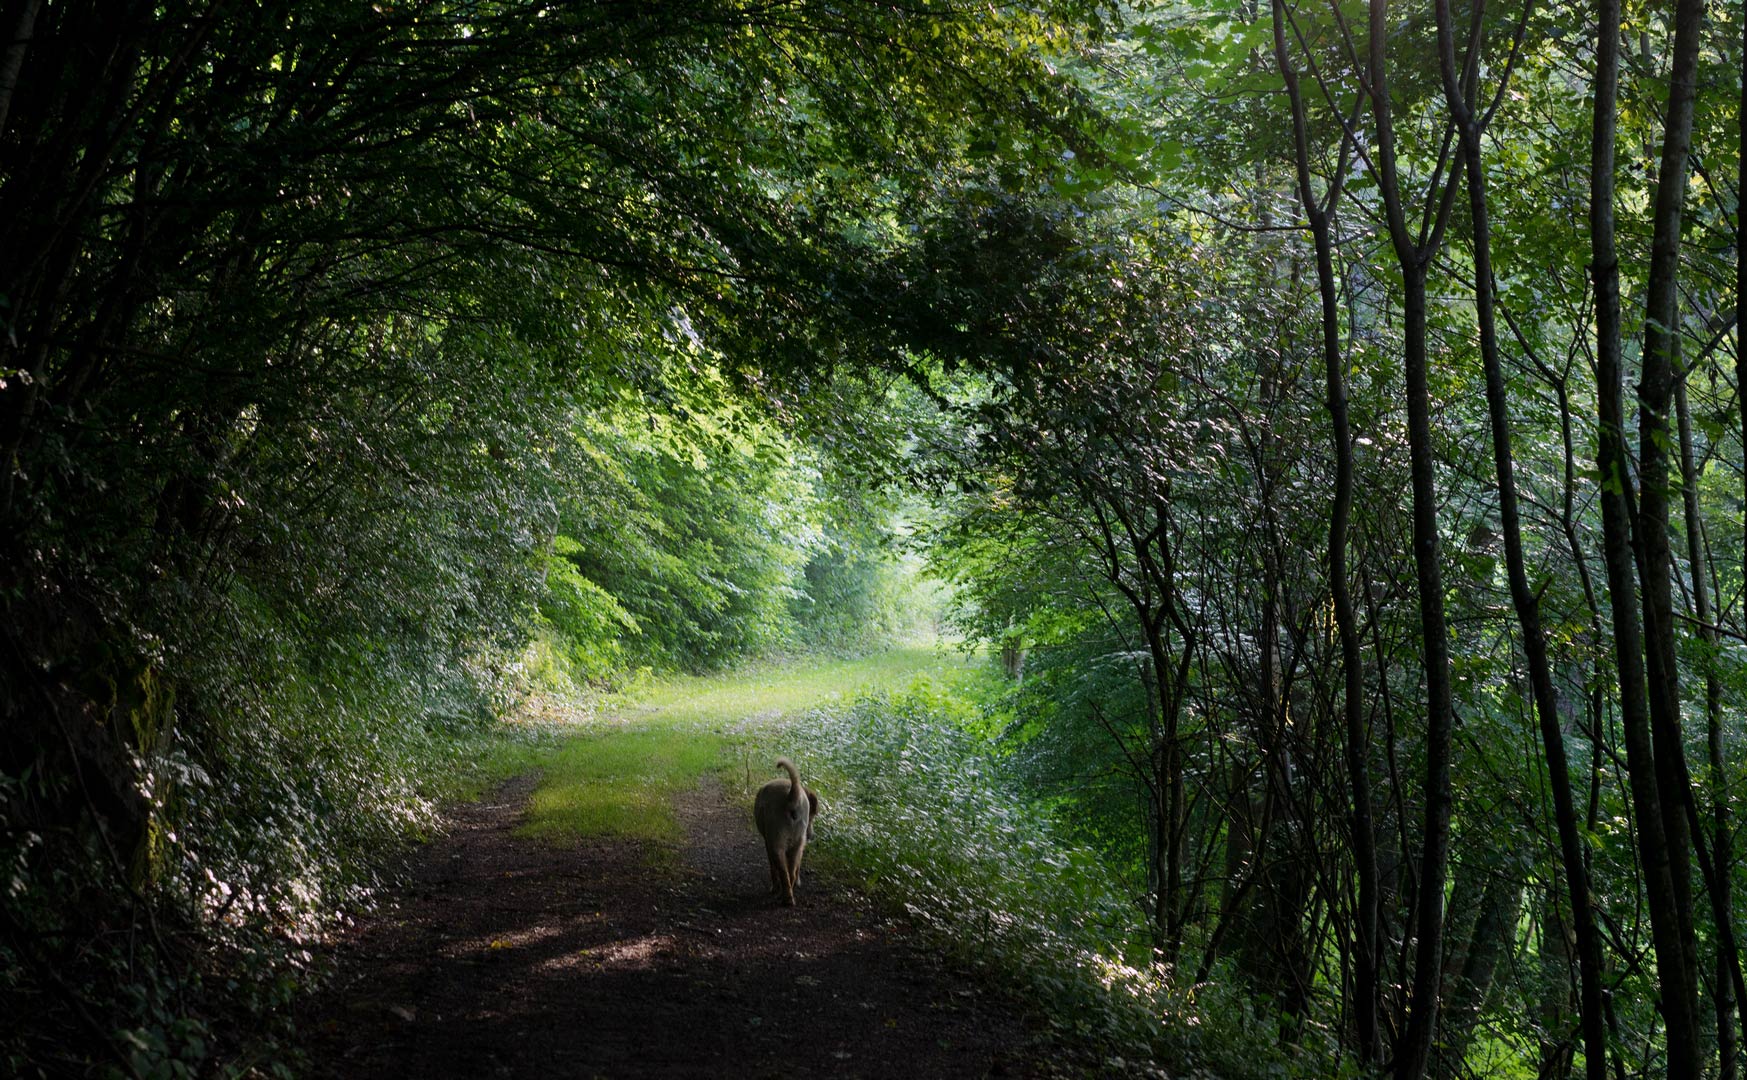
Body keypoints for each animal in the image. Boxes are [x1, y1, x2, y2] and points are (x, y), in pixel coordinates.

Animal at [751, 758, 817, 901]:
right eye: (812, 816)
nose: (811, 836)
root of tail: (792, 794)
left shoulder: (768, 843)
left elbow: (773, 868)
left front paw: (775, 888)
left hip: (777, 844)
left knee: (783, 872)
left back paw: (785, 896)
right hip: (796, 845)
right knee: (791, 872)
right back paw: (789, 894)